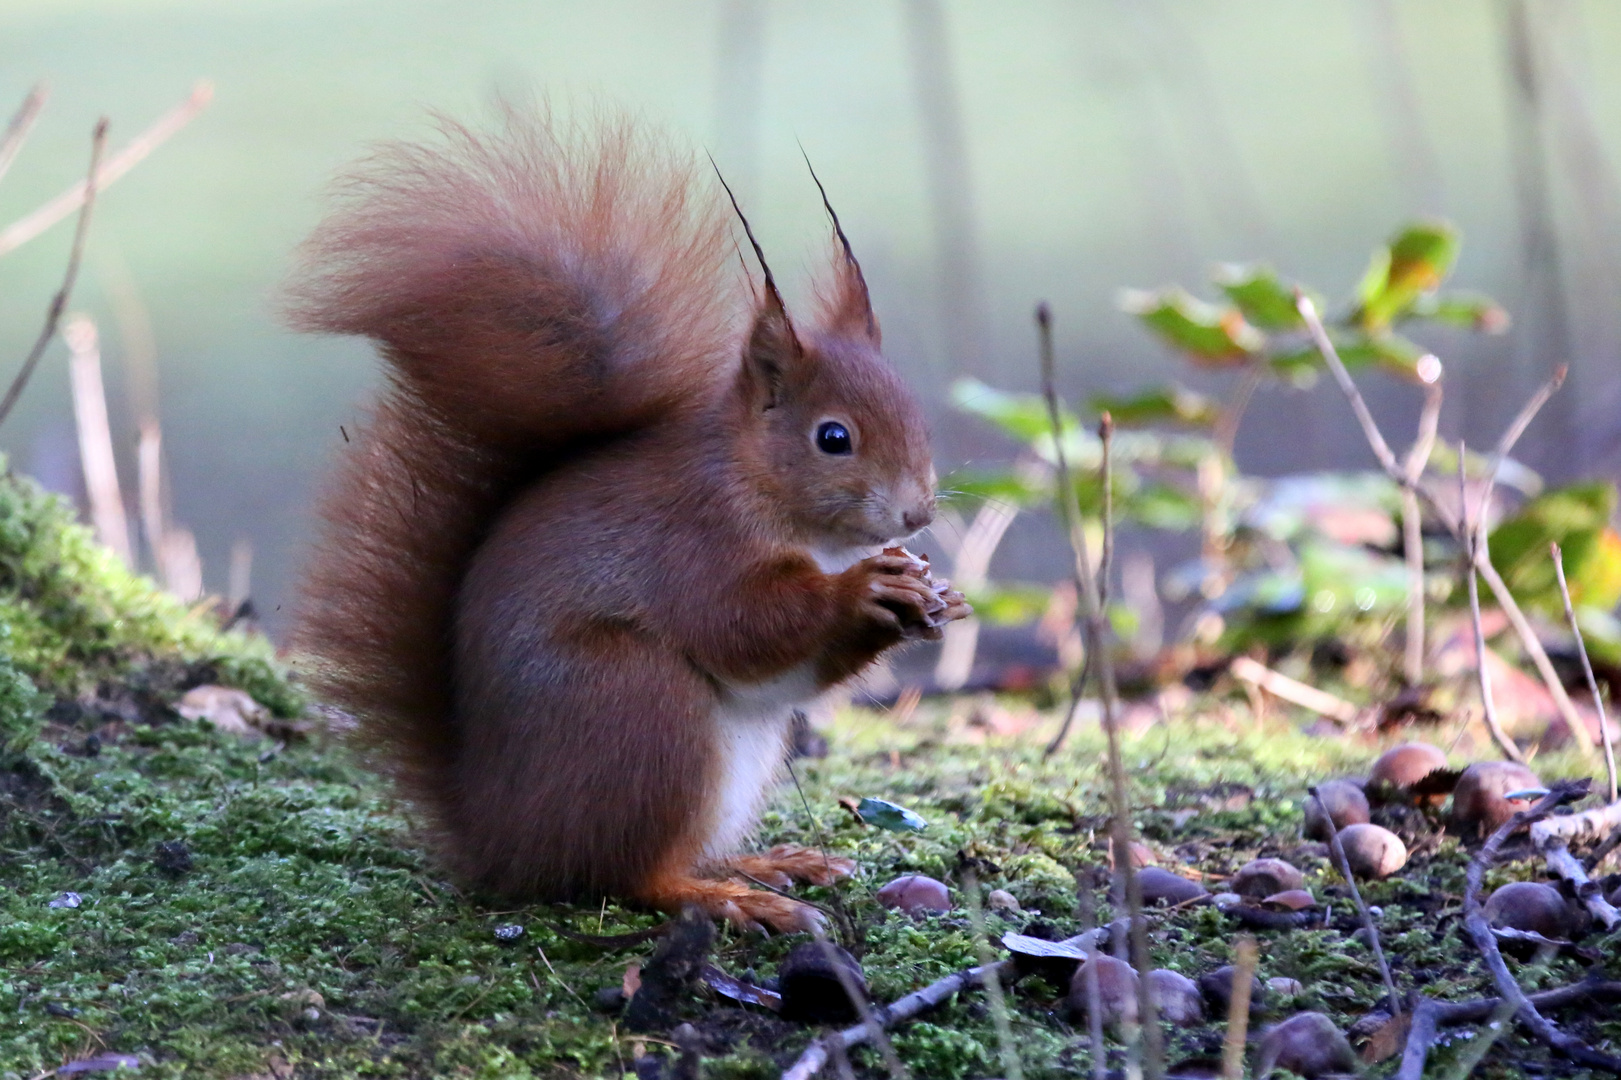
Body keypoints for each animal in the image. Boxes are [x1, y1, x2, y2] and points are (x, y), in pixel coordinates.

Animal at [285, 109, 966, 927]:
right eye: (833, 439)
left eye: (915, 415)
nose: (916, 510)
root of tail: (499, 838)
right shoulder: (691, 542)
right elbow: (739, 626)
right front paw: (864, 591)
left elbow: (793, 676)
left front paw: (935, 598)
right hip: (638, 707)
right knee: (630, 874)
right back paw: (729, 899)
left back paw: (767, 864)